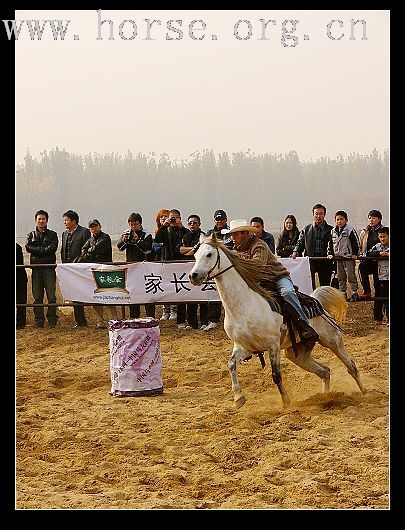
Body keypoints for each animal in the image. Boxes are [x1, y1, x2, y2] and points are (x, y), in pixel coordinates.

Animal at [189, 235, 366, 408]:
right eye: (195, 255)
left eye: (209, 254)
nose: (193, 276)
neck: (244, 305)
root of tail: (317, 302)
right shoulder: (243, 346)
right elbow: (231, 364)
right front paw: (238, 398)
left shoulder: (272, 344)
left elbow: (276, 375)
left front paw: (286, 402)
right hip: (297, 354)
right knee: (325, 371)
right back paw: (326, 398)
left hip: (332, 340)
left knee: (351, 366)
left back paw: (365, 393)